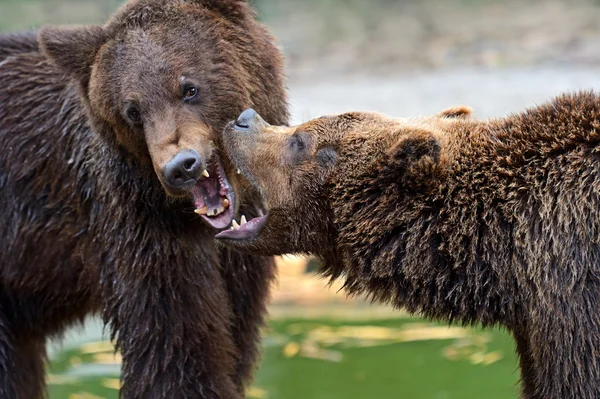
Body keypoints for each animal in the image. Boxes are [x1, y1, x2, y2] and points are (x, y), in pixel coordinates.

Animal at [0, 1, 288, 398]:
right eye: (132, 111)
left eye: (189, 88)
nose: (180, 167)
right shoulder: (138, 232)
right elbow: (176, 350)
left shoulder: (240, 263)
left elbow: (235, 335)